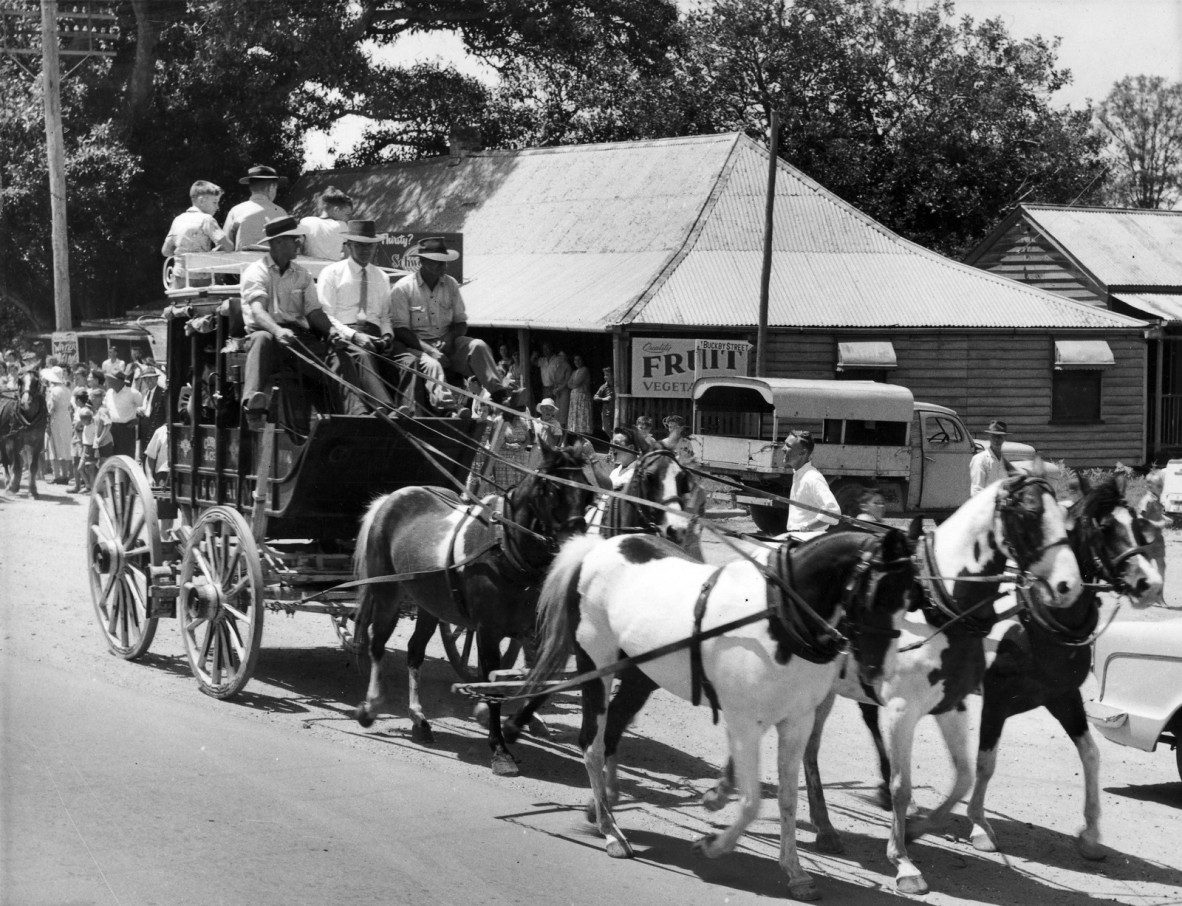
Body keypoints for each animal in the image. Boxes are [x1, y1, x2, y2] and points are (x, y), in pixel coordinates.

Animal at [0, 366, 47, 501]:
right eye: (20, 381)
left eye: (36, 382)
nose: (25, 403)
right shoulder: (16, 440)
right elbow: (16, 465)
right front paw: (13, 487)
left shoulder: (38, 442)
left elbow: (33, 466)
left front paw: (33, 490)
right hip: (3, 439)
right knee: (5, 460)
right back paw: (8, 481)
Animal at [347, 444, 605, 775]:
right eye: (551, 489)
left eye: (587, 495)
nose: (574, 543)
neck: (505, 549)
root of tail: (391, 498)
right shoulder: (487, 631)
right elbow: (493, 684)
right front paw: (500, 749)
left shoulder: (535, 633)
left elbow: (539, 683)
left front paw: (513, 725)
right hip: (387, 592)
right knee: (377, 644)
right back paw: (370, 707)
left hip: (430, 603)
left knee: (415, 651)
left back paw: (419, 718)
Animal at [524, 529, 912, 903]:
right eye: (878, 594)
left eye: (909, 599)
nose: (881, 671)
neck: (777, 620)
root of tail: (596, 548)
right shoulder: (744, 722)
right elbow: (752, 802)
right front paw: (713, 845)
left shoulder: (796, 721)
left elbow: (787, 797)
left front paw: (796, 873)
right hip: (597, 666)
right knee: (592, 744)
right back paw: (611, 832)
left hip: (639, 673)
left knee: (613, 730)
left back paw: (602, 806)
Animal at [969, 477, 1163, 861]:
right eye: (1104, 527)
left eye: (1138, 525)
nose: (1150, 584)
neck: (1034, 619)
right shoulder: (996, 697)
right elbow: (986, 761)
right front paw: (979, 826)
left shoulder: (1062, 695)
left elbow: (1090, 754)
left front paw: (1090, 834)